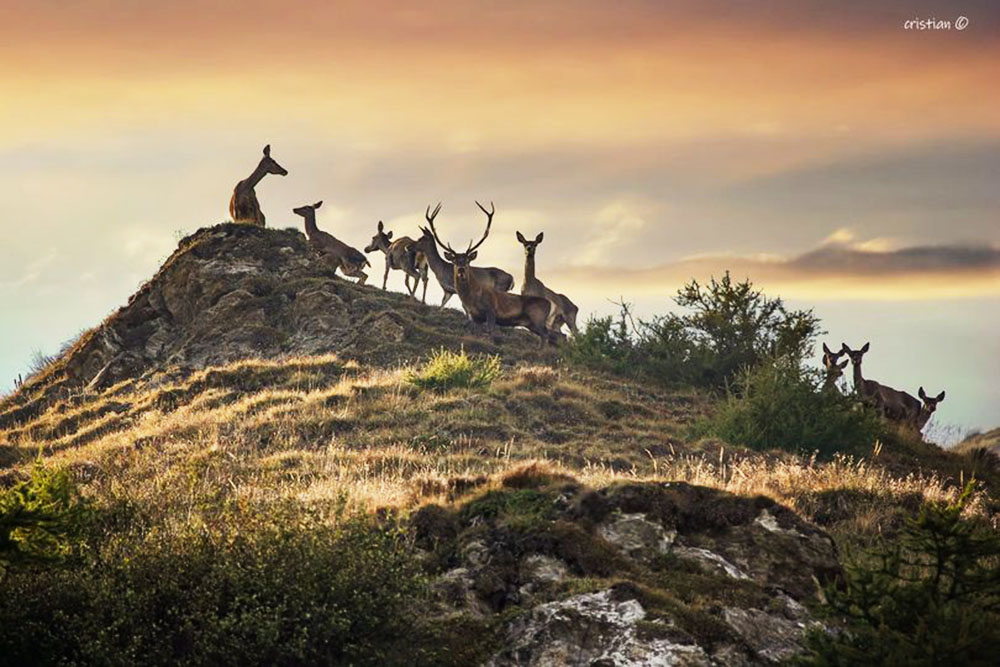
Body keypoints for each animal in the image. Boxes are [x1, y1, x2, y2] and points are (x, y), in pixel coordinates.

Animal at [426, 201, 560, 350]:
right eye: (454, 261)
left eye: (467, 260)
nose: (461, 269)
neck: (472, 297)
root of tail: (550, 304)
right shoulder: (476, 317)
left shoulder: (491, 311)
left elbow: (490, 333)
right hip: (532, 324)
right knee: (553, 336)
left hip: (537, 319)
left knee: (548, 335)